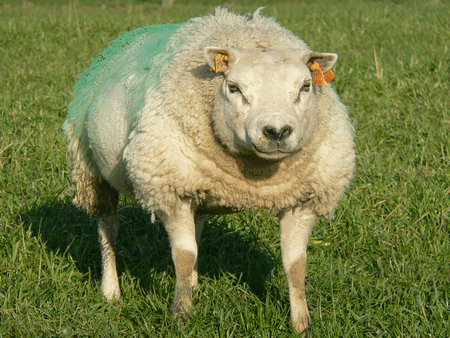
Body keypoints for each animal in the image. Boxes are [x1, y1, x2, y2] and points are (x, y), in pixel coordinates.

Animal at [62, 7, 356, 336]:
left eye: (305, 87)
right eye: (234, 88)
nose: (277, 131)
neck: (255, 175)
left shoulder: (305, 199)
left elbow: (296, 265)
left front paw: (301, 324)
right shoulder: (170, 190)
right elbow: (184, 255)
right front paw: (181, 315)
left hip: (200, 185)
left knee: (197, 226)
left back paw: (192, 283)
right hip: (91, 169)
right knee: (108, 230)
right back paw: (111, 291)